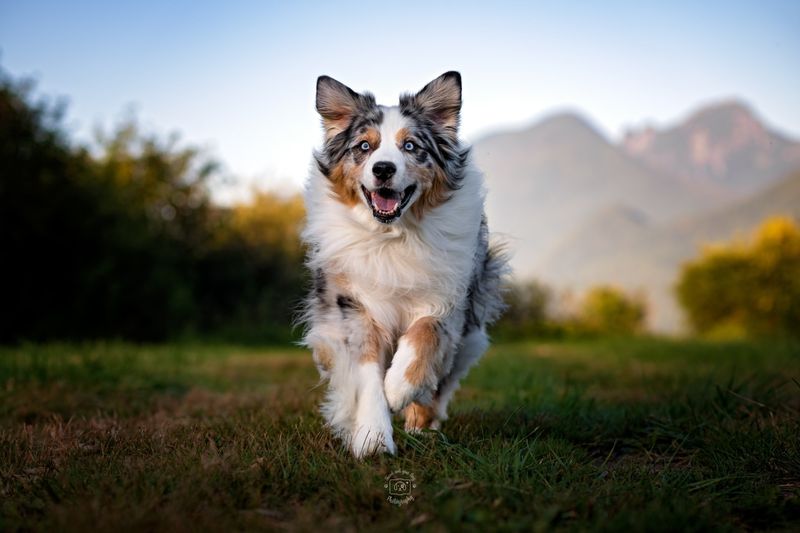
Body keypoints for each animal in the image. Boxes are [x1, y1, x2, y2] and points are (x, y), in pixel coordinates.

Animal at [300, 71, 506, 458]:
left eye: (410, 146)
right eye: (364, 147)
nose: (383, 168)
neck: (392, 237)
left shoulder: (447, 300)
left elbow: (424, 335)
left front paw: (397, 389)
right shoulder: (354, 307)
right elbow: (366, 372)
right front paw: (372, 437)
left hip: (469, 334)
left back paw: (421, 425)